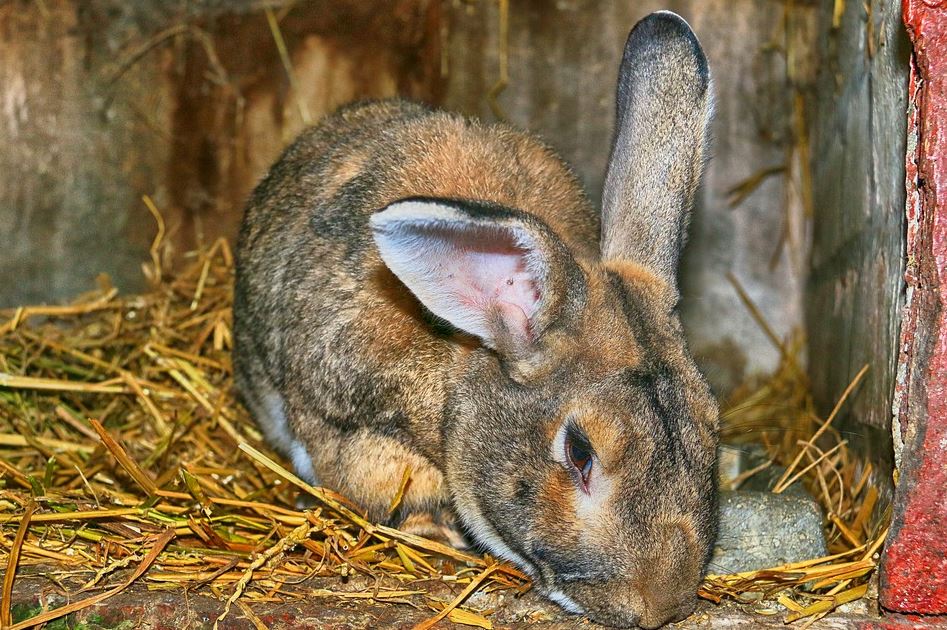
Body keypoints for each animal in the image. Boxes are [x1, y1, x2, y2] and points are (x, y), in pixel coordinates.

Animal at [233, 11, 718, 629]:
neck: (464, 353)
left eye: (711, 424)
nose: (661, 604)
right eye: (580, 453)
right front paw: (434, 533)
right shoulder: (350, 426)